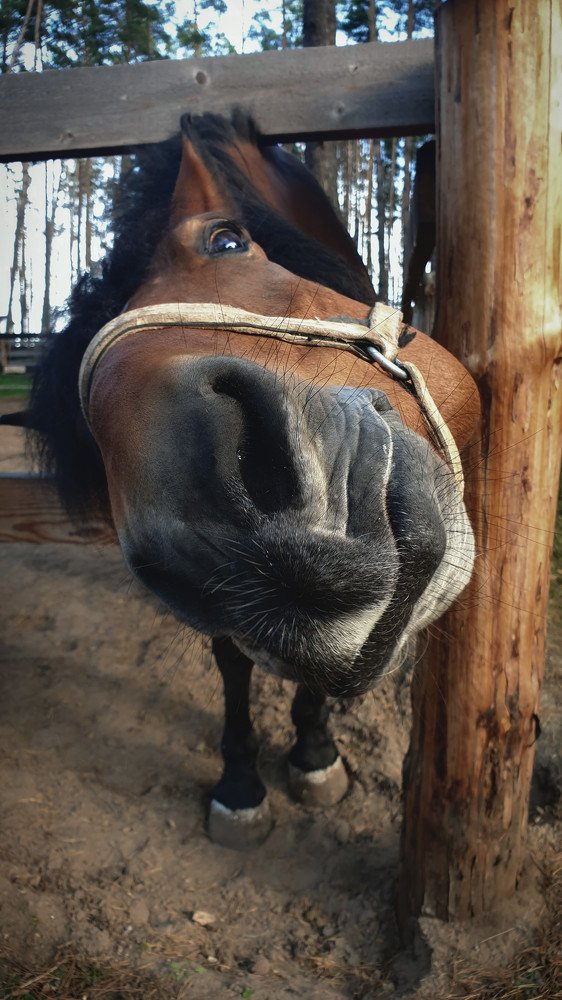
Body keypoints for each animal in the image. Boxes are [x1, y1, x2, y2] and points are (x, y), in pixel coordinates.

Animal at [3, 111, 480, 849]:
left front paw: (313, 752)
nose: (204, 536)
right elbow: (233, 662)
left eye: (225, 240)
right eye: (88, 428)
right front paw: (242, 783)